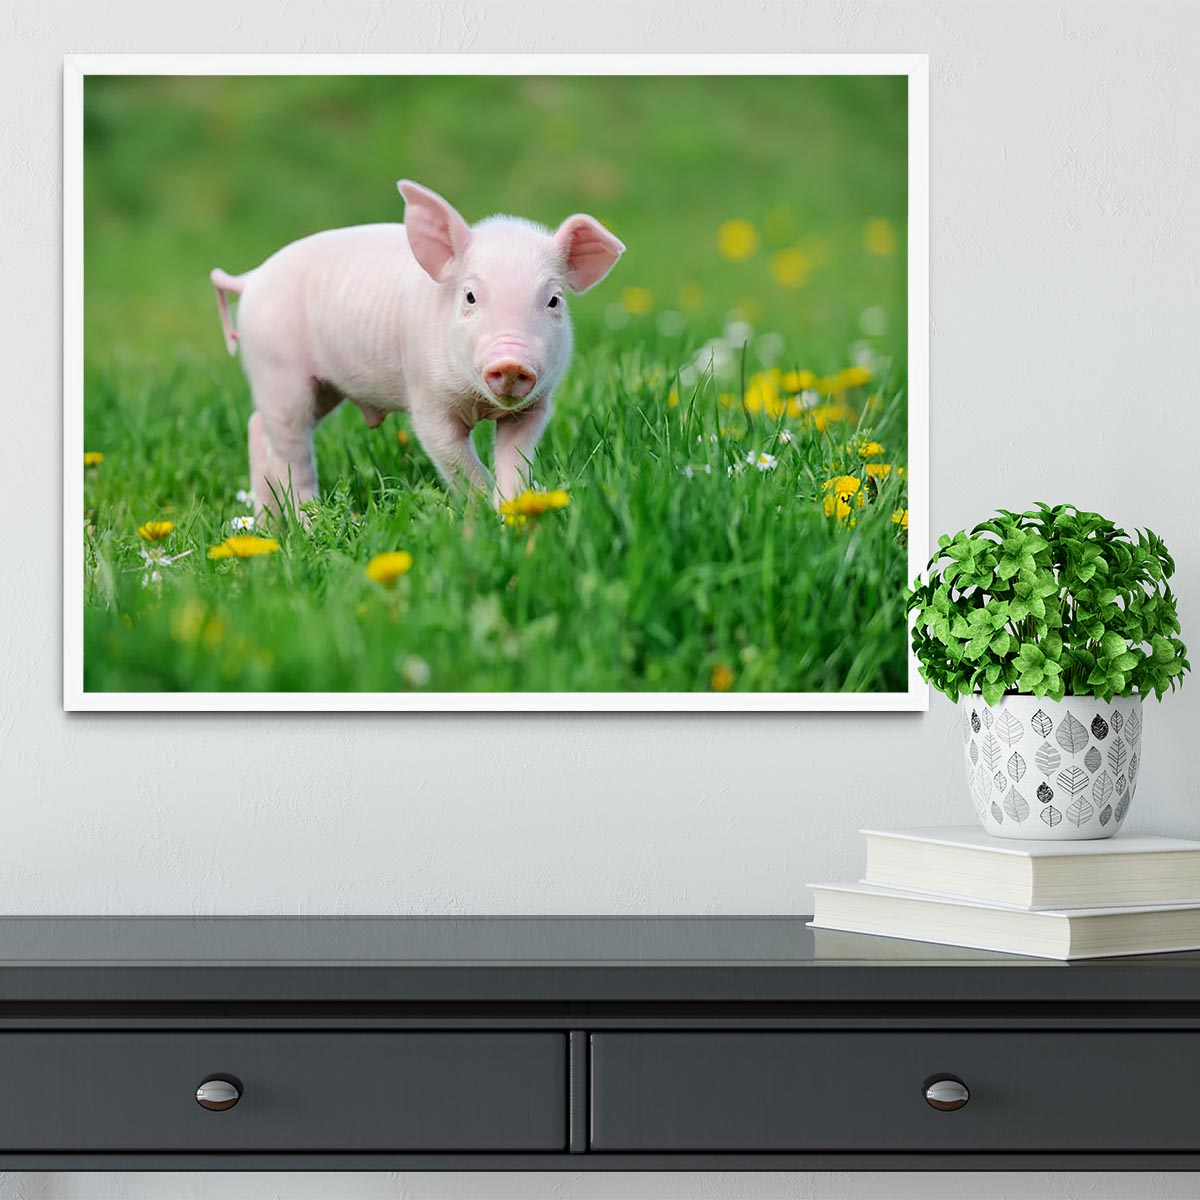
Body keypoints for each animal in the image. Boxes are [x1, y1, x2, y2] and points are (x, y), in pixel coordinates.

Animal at [210, 181, 624, 516]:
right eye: (470, 296)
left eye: (554, 300)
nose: (510, 361)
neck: (480, 404)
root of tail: (251, 278)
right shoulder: (427, 400)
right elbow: (458, 463)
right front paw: (482, 517)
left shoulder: (535, 406)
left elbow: (515, 461)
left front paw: (513, 512)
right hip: (276, 370)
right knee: (290, 454)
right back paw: (311, 524)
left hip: (320, 386)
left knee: (259, 429)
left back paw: (269, 528)